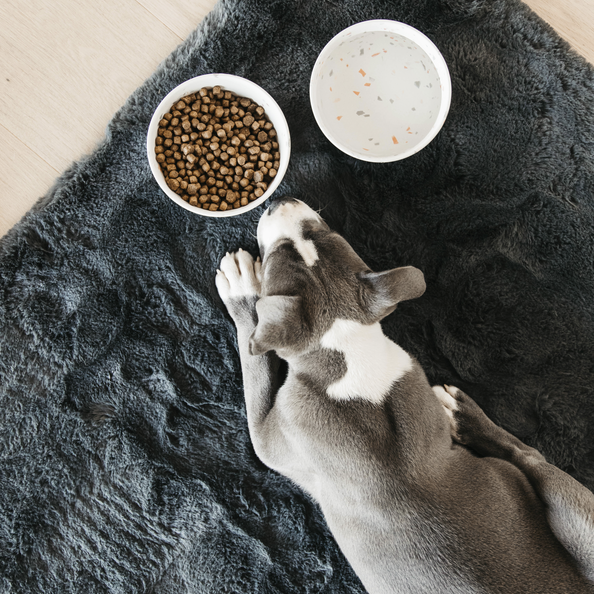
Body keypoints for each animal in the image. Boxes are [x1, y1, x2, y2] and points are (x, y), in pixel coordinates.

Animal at [216, 197, 592, 588]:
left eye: (276, 254)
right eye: (321, 231)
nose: (280, 201)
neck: (345, 348)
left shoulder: (270, 437)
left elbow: (253, 357)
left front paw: (242, 288)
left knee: (532, 456)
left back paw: (466, 415)